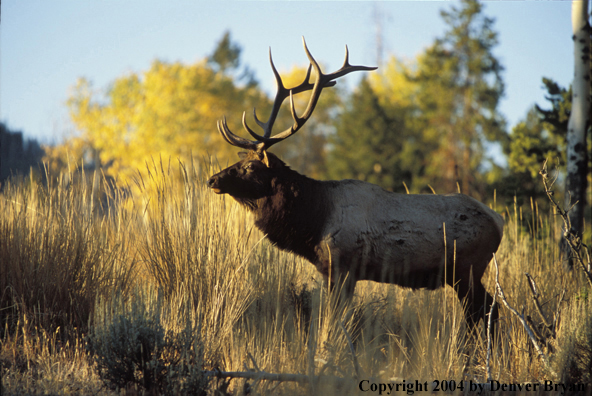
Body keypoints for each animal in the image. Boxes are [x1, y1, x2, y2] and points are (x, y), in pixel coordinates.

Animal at [208, 38, 504, 326]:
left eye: (250, 167)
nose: (212, 179)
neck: (314, 220)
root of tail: (499, 220)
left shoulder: (342, 265)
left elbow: (335, 319)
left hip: (467, 269)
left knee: (485, 310)